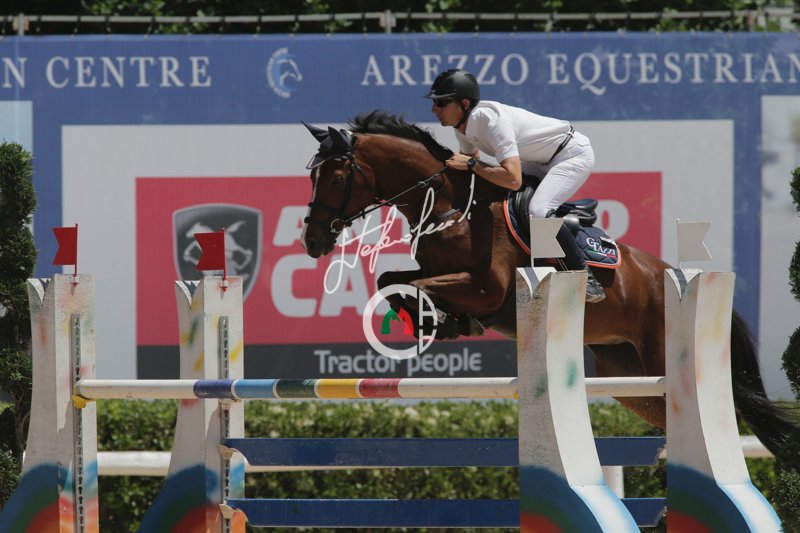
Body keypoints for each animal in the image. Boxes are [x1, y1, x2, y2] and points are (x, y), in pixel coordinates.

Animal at [300, 110, 800, 468]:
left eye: (337, 177)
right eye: (312, 176)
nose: (313, 240)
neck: (452, 206)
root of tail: (671, 275)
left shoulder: (487, 289)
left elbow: (420, 285)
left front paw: (439, 320)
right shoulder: (442, 274)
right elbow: (391, 280)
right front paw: (433, 320)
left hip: (661, 359)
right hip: (628, 376)